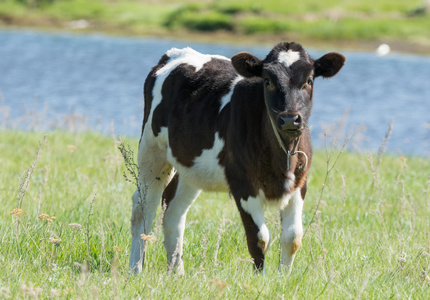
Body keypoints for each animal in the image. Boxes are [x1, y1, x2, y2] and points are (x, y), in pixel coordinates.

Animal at [131, 42, 346, 274]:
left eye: (309, 80)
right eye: (268, 81)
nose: (290, 119)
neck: (282, 156)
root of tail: (175, 53)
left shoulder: (299, 184)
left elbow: (293, 238)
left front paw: (283, 277)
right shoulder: (243, 184)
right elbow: (260, 237)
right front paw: (261, 278)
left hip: (190, 167)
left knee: (173, 210)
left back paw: (177, 273)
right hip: (151, 151)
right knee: (144, 207)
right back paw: (135, 269)